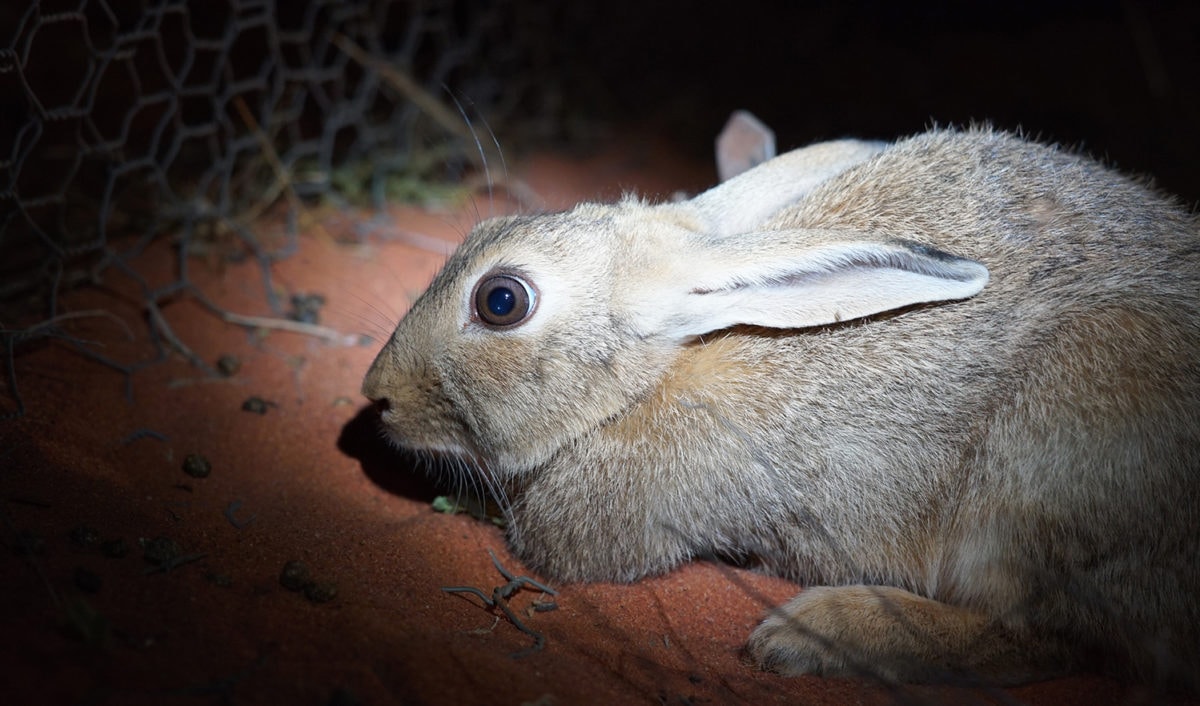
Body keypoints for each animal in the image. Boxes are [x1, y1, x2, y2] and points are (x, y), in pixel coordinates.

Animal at [364, 126, 1200, 691]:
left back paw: (817, 633)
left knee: (1050, 639)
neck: (656, 370)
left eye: (501, 301)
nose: (377, 395)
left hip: (1054, 451)